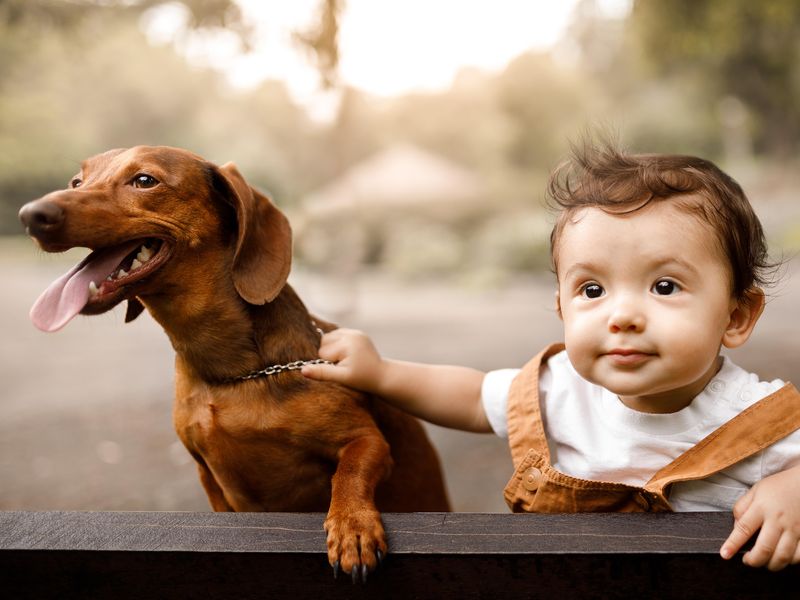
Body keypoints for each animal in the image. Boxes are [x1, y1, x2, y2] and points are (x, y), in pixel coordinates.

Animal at [20, 145, 450, 580]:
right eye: (77, 181)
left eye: (144, 180)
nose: (30, 215)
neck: (232, 372)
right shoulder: (208, 475)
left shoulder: (366, 442)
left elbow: (349, 474)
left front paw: (352, 527)